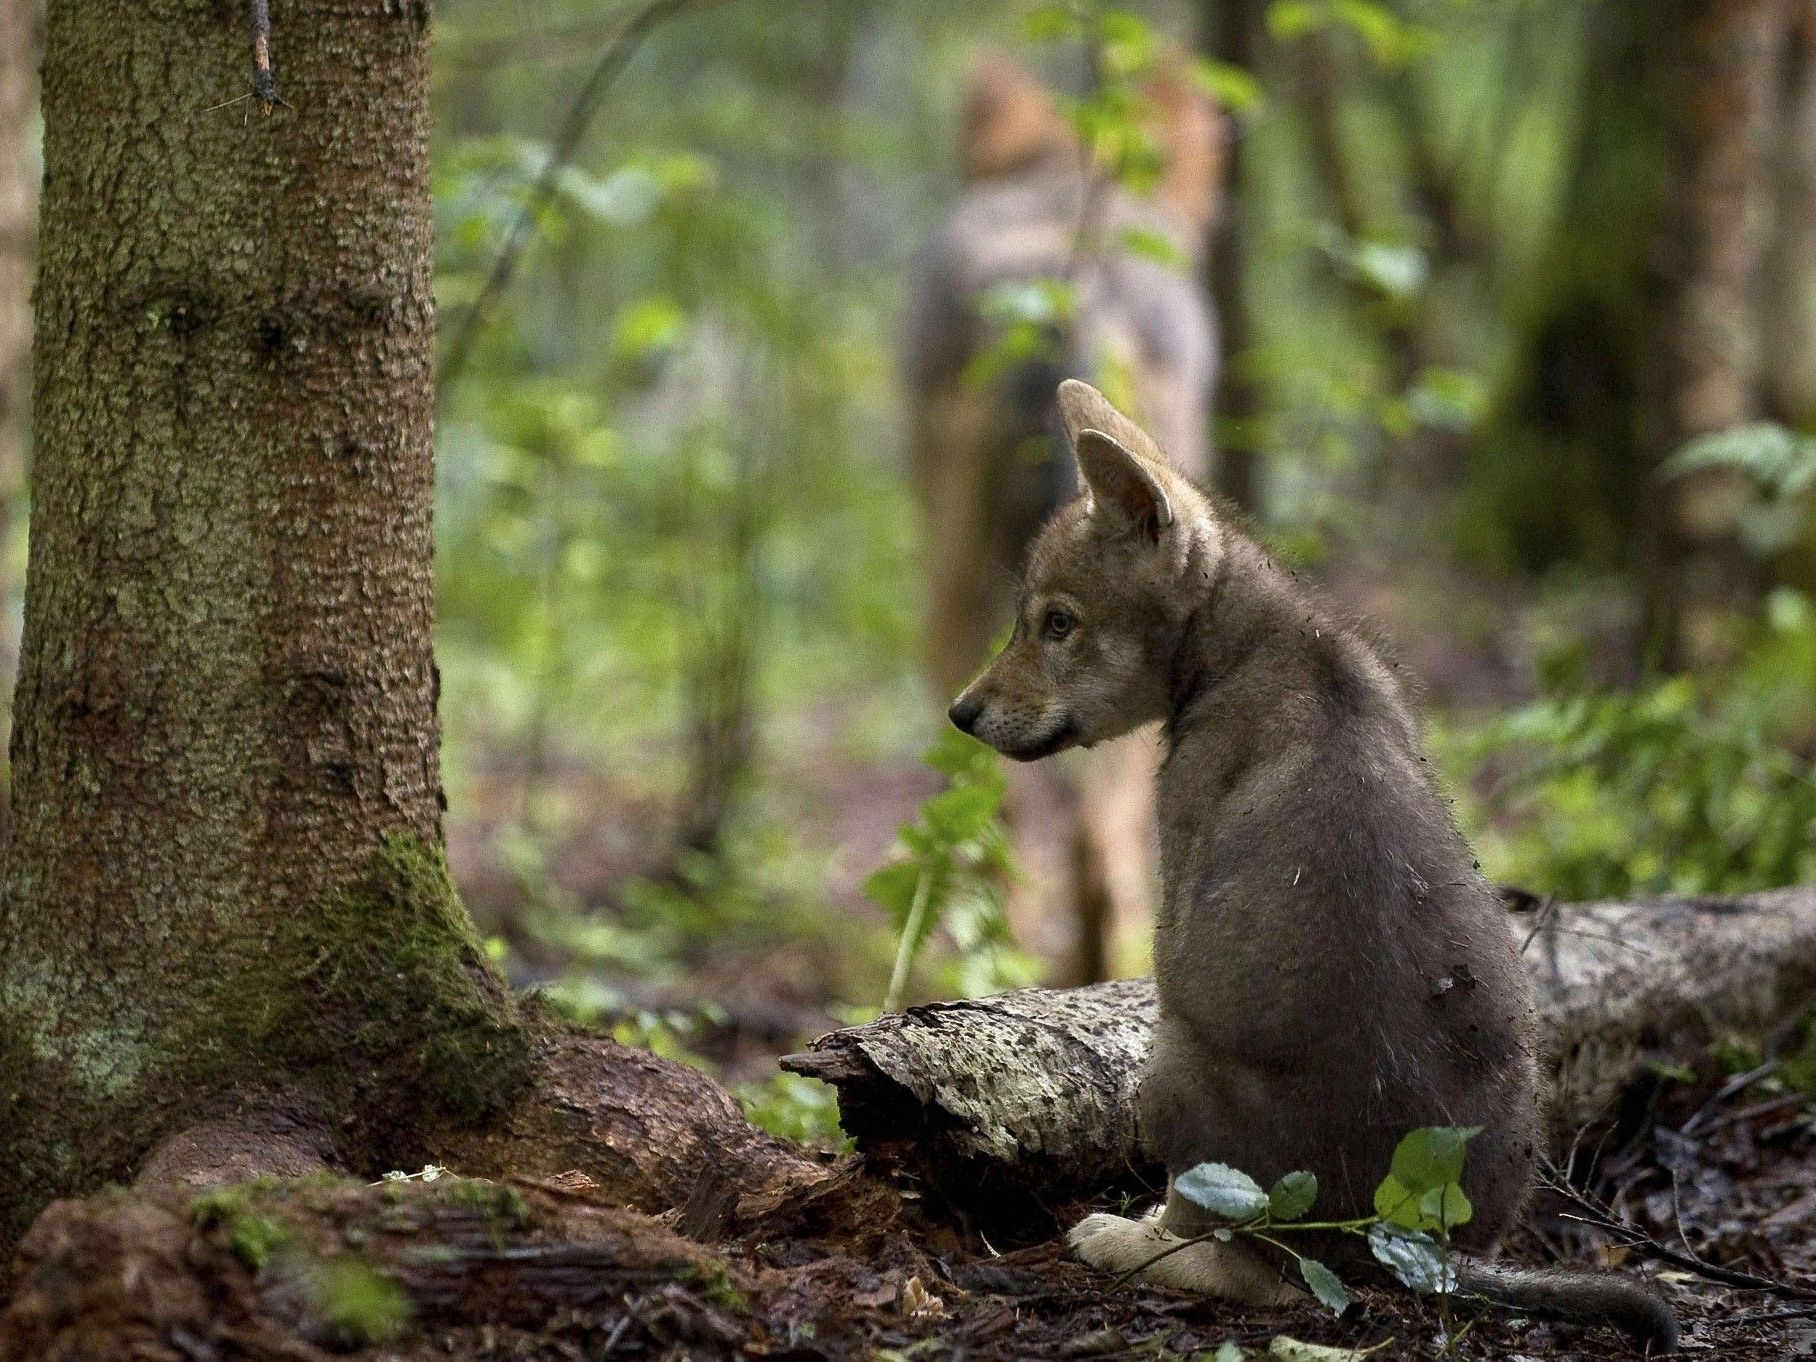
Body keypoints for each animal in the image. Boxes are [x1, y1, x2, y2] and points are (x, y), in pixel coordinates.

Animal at [949, 380, 1678, 1352]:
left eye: (1058, 624)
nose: (960, 712)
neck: (1257, 642)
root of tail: (1400, 1238)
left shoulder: (1180, 879)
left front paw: (1142, 1230)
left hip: (1174, 1057)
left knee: (1253, 1268)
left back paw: (1123, 1240)